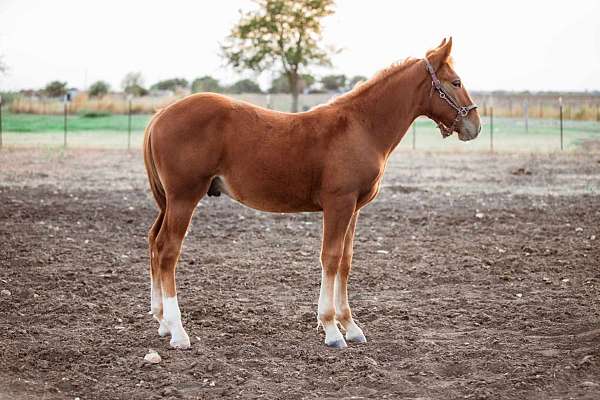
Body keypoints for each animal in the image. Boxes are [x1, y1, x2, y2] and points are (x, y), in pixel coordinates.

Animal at [143, 38, 480, 350]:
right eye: (456, 82)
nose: (474, 126)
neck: (360, 127)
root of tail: (160, 115)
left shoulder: (354, 209)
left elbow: (345, 261)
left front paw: (350, 326)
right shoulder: (338, 204)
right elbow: (329, 258)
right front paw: (331, 329)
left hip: (169, 202)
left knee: (154, 242)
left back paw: (161, 321)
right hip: (184, 198)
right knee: (168, 250)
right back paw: (178, 332)